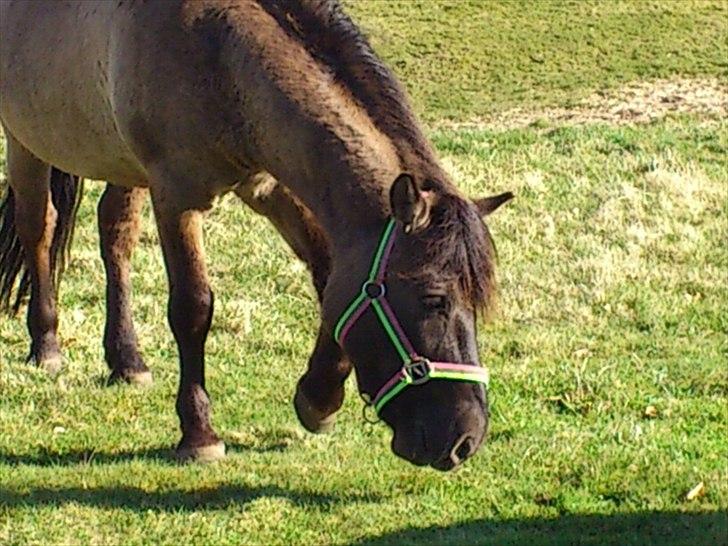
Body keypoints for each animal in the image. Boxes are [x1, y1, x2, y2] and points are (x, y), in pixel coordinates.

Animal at [0, 0, 512, 468]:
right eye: (434, 299)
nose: (466, 438)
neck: (218, 50)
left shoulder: (270, 187)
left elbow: (328, 277)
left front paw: (318, 399)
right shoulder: (176, 198)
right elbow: (192, 309)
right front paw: (200, 434)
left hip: (120, 163)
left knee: (115, 236)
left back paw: (128, 360)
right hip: (24, 139)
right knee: (38, 227)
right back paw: (46, 345)